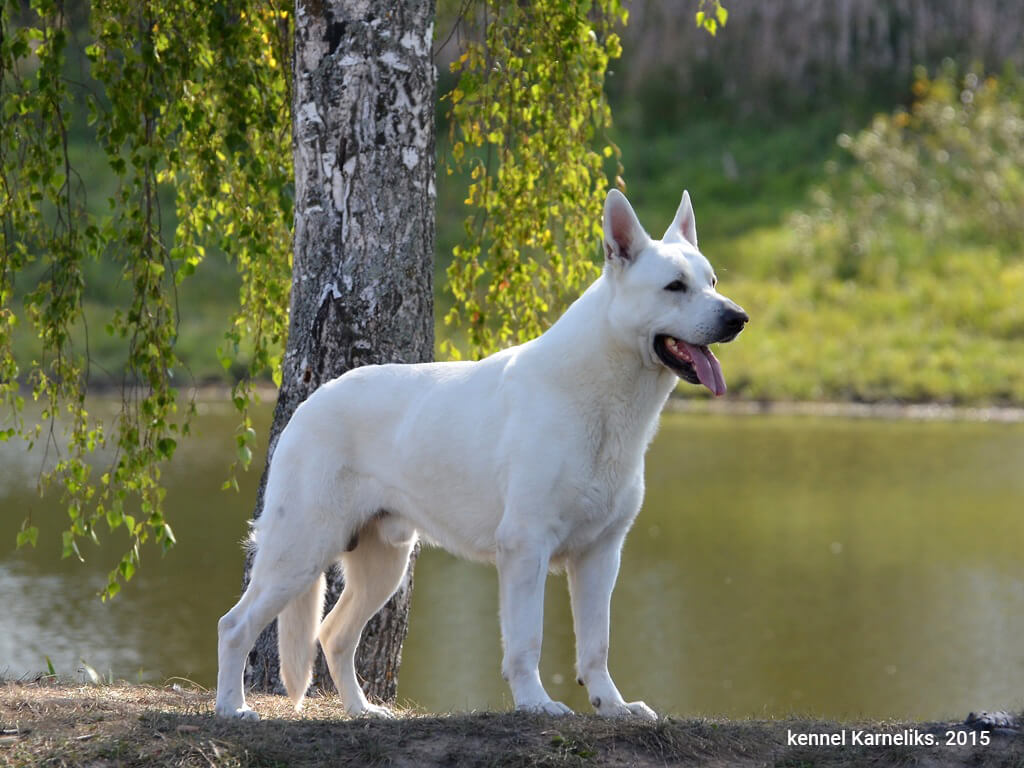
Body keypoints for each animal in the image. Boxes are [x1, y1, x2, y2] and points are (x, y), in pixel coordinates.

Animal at [214, 191, 745, 720]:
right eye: (674, 286)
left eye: (712, 282)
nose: (737, 318)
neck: (604, 402)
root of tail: (309, 403)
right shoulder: (526, 547)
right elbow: (527, 642)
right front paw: (536, 703)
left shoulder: (601, 555)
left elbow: (597, 645)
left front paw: (611, 705)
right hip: (300, 551)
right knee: (234, 626)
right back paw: (232, 708)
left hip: (382, 564)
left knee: (333, 634)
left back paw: (363, 711)